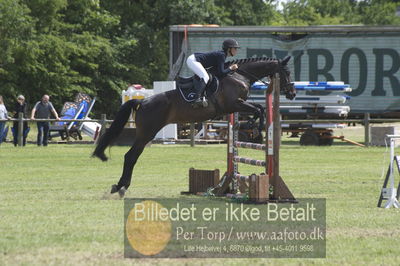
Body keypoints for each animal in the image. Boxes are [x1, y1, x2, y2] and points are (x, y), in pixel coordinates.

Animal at [92, 55, 296, 195]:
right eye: (286, 72)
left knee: (132, 156)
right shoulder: (234, 104)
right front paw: (256, 128)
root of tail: (142, 101)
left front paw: (253, 128)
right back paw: (121, 186)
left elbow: (259, 108)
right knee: (131, 156)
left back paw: (120, 185)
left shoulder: (237, 105)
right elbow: (259, 110)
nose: (292, 93)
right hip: (147, 133)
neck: (239, 75)